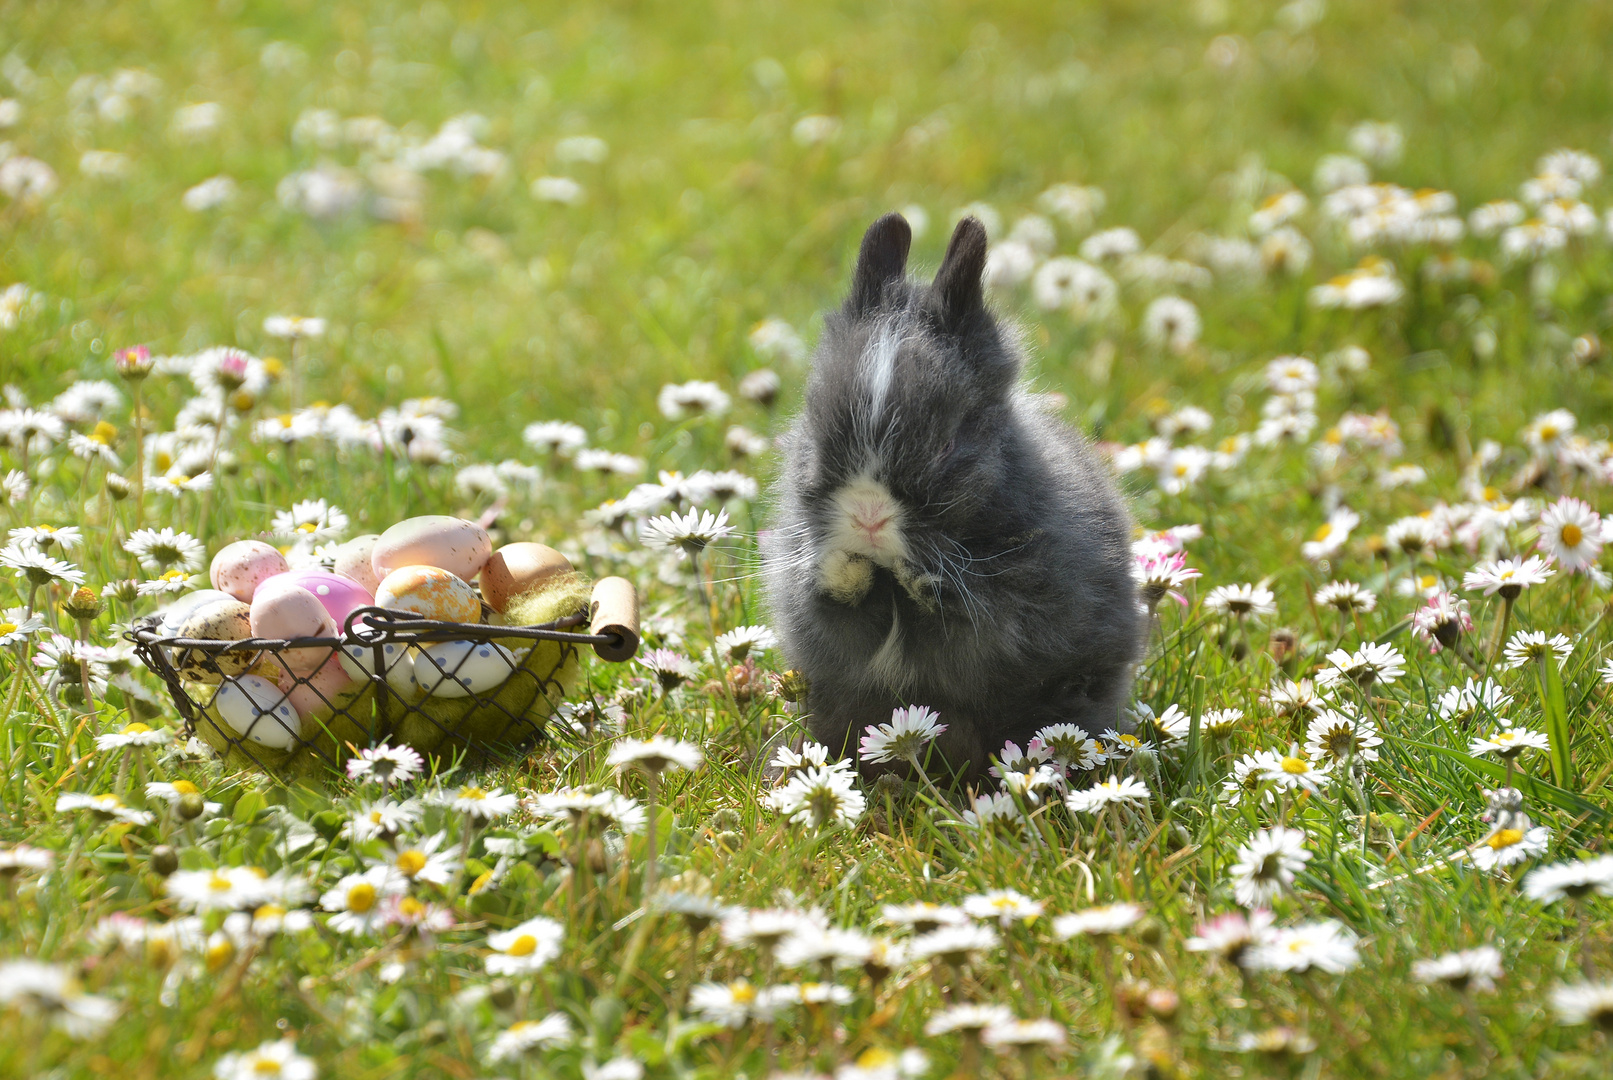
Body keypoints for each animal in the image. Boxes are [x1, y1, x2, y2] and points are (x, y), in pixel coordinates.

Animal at [761, 216, 1142, 783]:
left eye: (945, 444)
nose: (868, 517)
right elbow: (832, 601)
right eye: (814, 426)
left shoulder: (1014, 616)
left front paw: (921, 574)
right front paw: (843, 566)